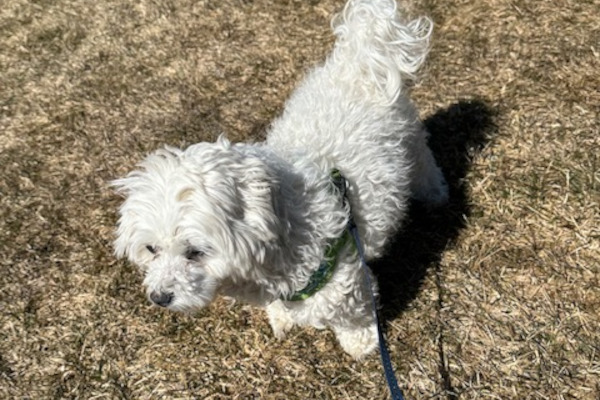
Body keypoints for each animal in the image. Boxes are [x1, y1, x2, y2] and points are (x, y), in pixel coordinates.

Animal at [115, 0, 448, 360]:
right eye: (151, 249)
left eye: (195, 253)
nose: (159, 298)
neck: (281, 223)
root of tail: (357, 61)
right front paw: (280, 317)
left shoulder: (338, 275)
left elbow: (350, 314)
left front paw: (361, 344)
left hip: (411, 141)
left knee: (425, 164)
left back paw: (437, 195)